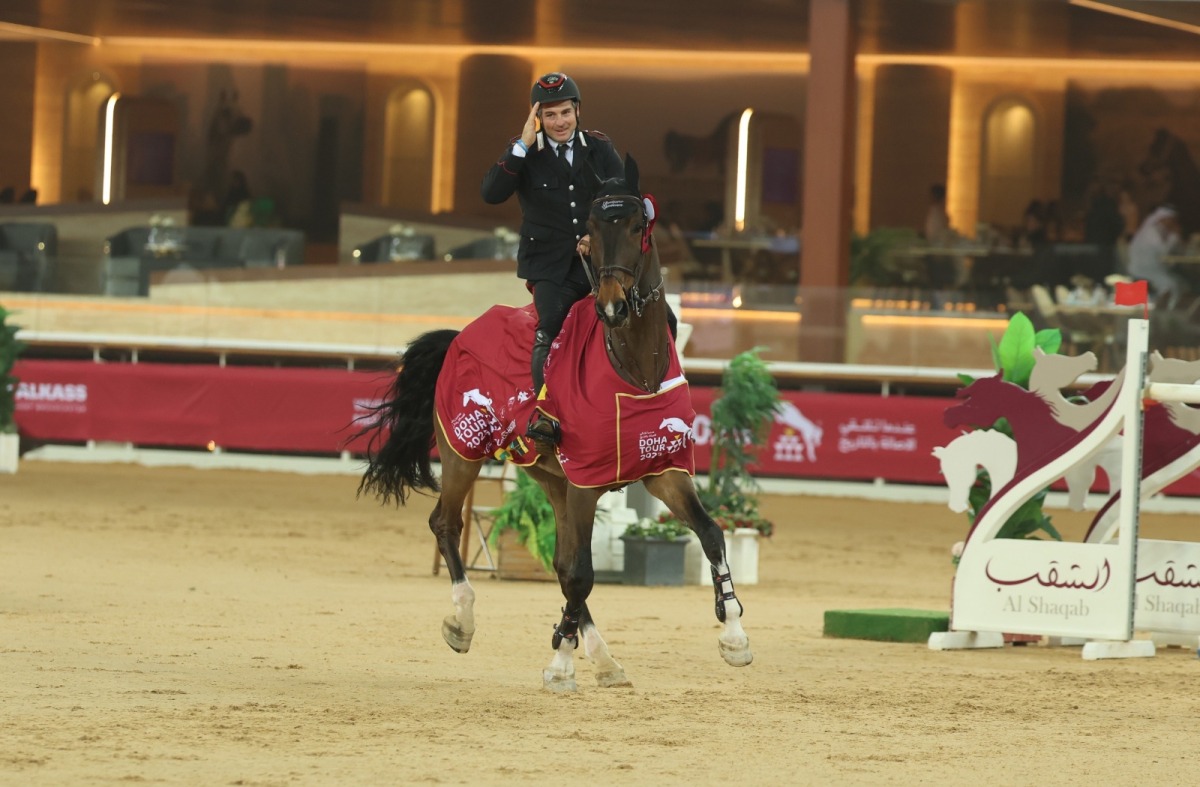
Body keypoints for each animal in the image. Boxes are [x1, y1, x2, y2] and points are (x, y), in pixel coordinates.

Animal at [352, 152, 748, 691]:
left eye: (638, 225)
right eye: (592, 227)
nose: (611, 306)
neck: (633, 367)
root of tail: (459, 336)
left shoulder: (661, 471)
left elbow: (709, 534)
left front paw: (734, 634)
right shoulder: (585, 482)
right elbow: (581, 574)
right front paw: (560, 661)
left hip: (549, 476)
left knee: (560, 561)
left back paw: (603, 659)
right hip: (463, 454)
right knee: (447, 524)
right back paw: (463, 622)